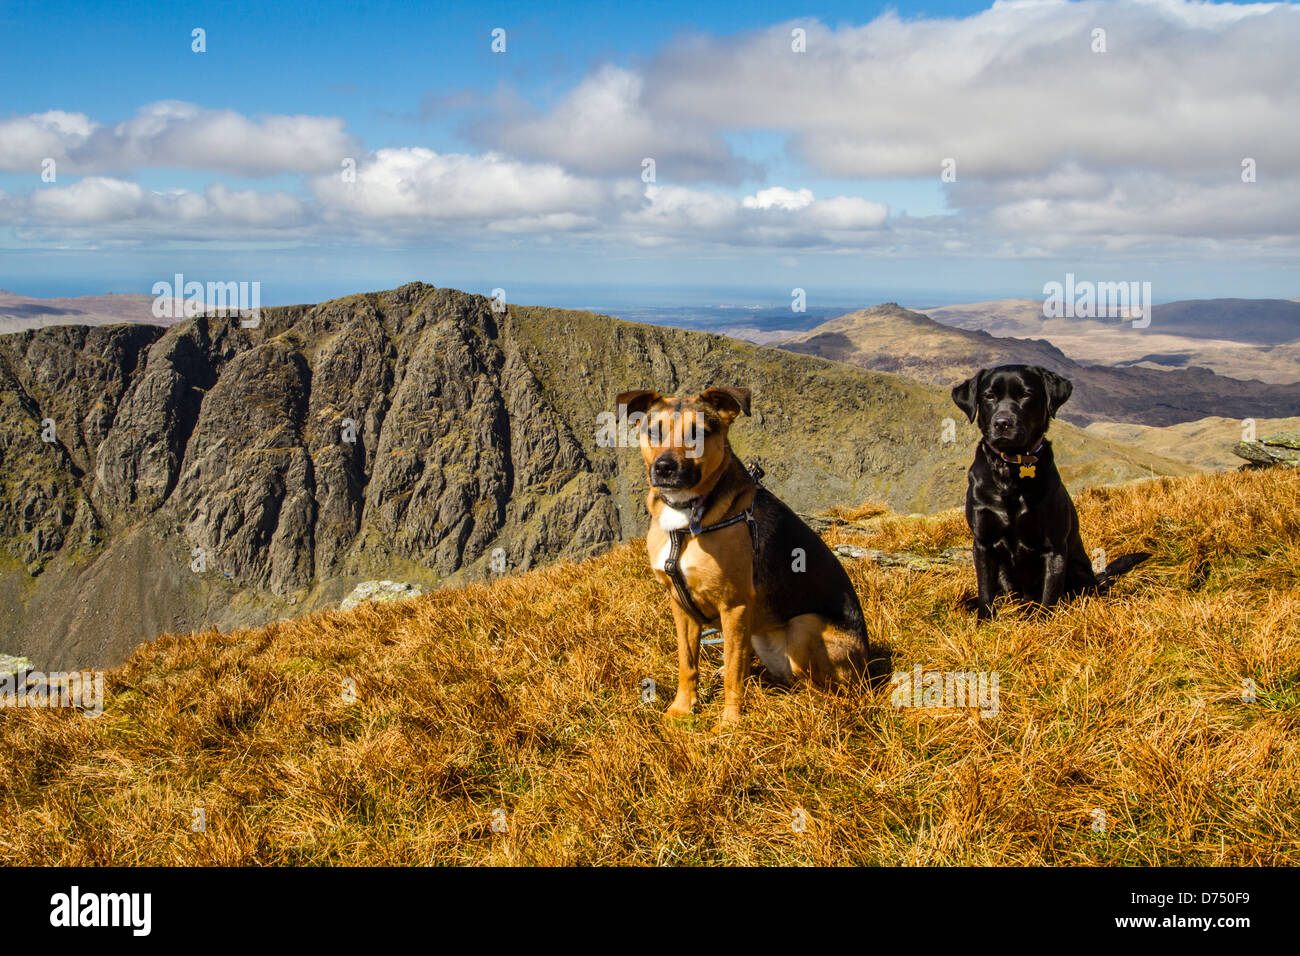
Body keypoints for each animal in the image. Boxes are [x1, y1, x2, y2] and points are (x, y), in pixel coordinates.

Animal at [613, 387, 868, 723]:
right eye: (653, 431)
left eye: (698, 433)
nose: (664, 468)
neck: (687, 518)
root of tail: (868, 667)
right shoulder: (680, 606)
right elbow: (687, 662)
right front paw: (683, 707)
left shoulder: (734, 606)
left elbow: (736, 672)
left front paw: (730, 722)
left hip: (805, 627)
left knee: (821, 688)